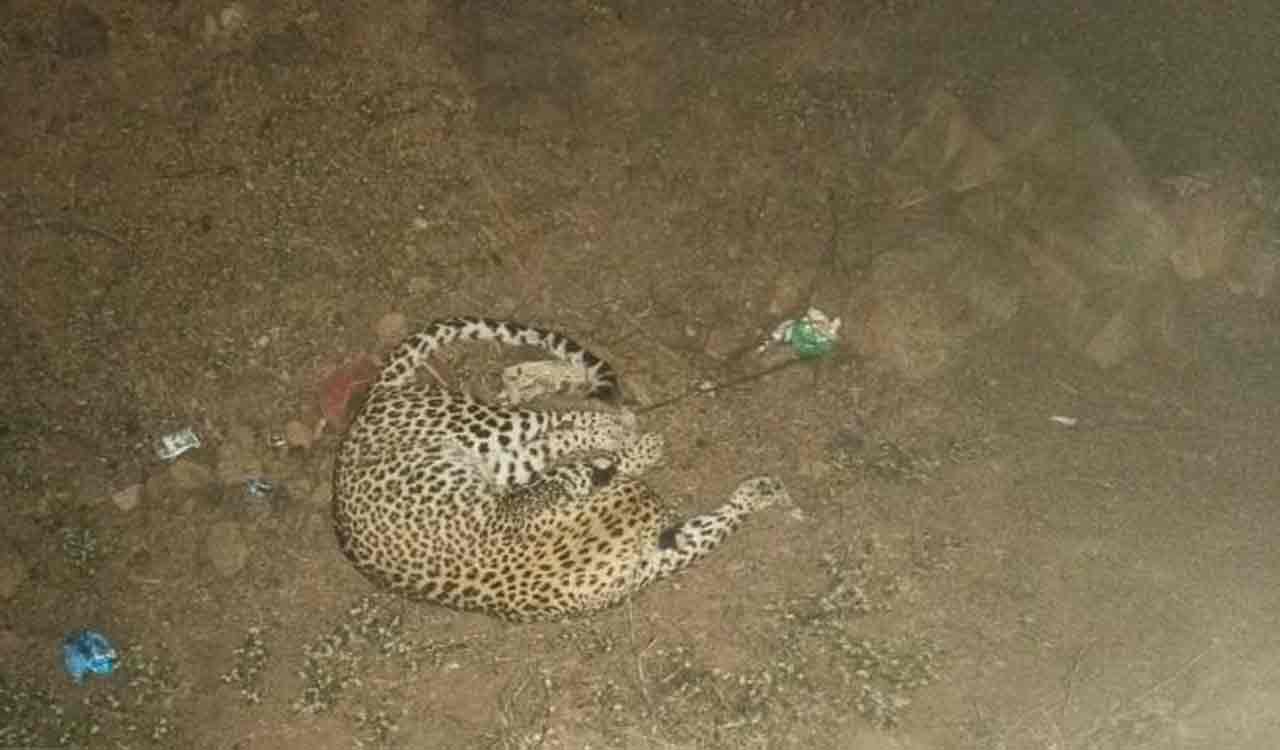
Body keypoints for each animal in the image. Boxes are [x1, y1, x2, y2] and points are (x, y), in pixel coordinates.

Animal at [332, 316, 789, 622]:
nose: (660, 506)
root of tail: (372, 400)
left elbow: (712, 527)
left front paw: (757, 493)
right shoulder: (522, 504)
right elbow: (587, 470)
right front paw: (639, 453)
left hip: (503, 460)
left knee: (555, 426)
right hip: (482, 431)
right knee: (558, 420)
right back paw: (608, 420)